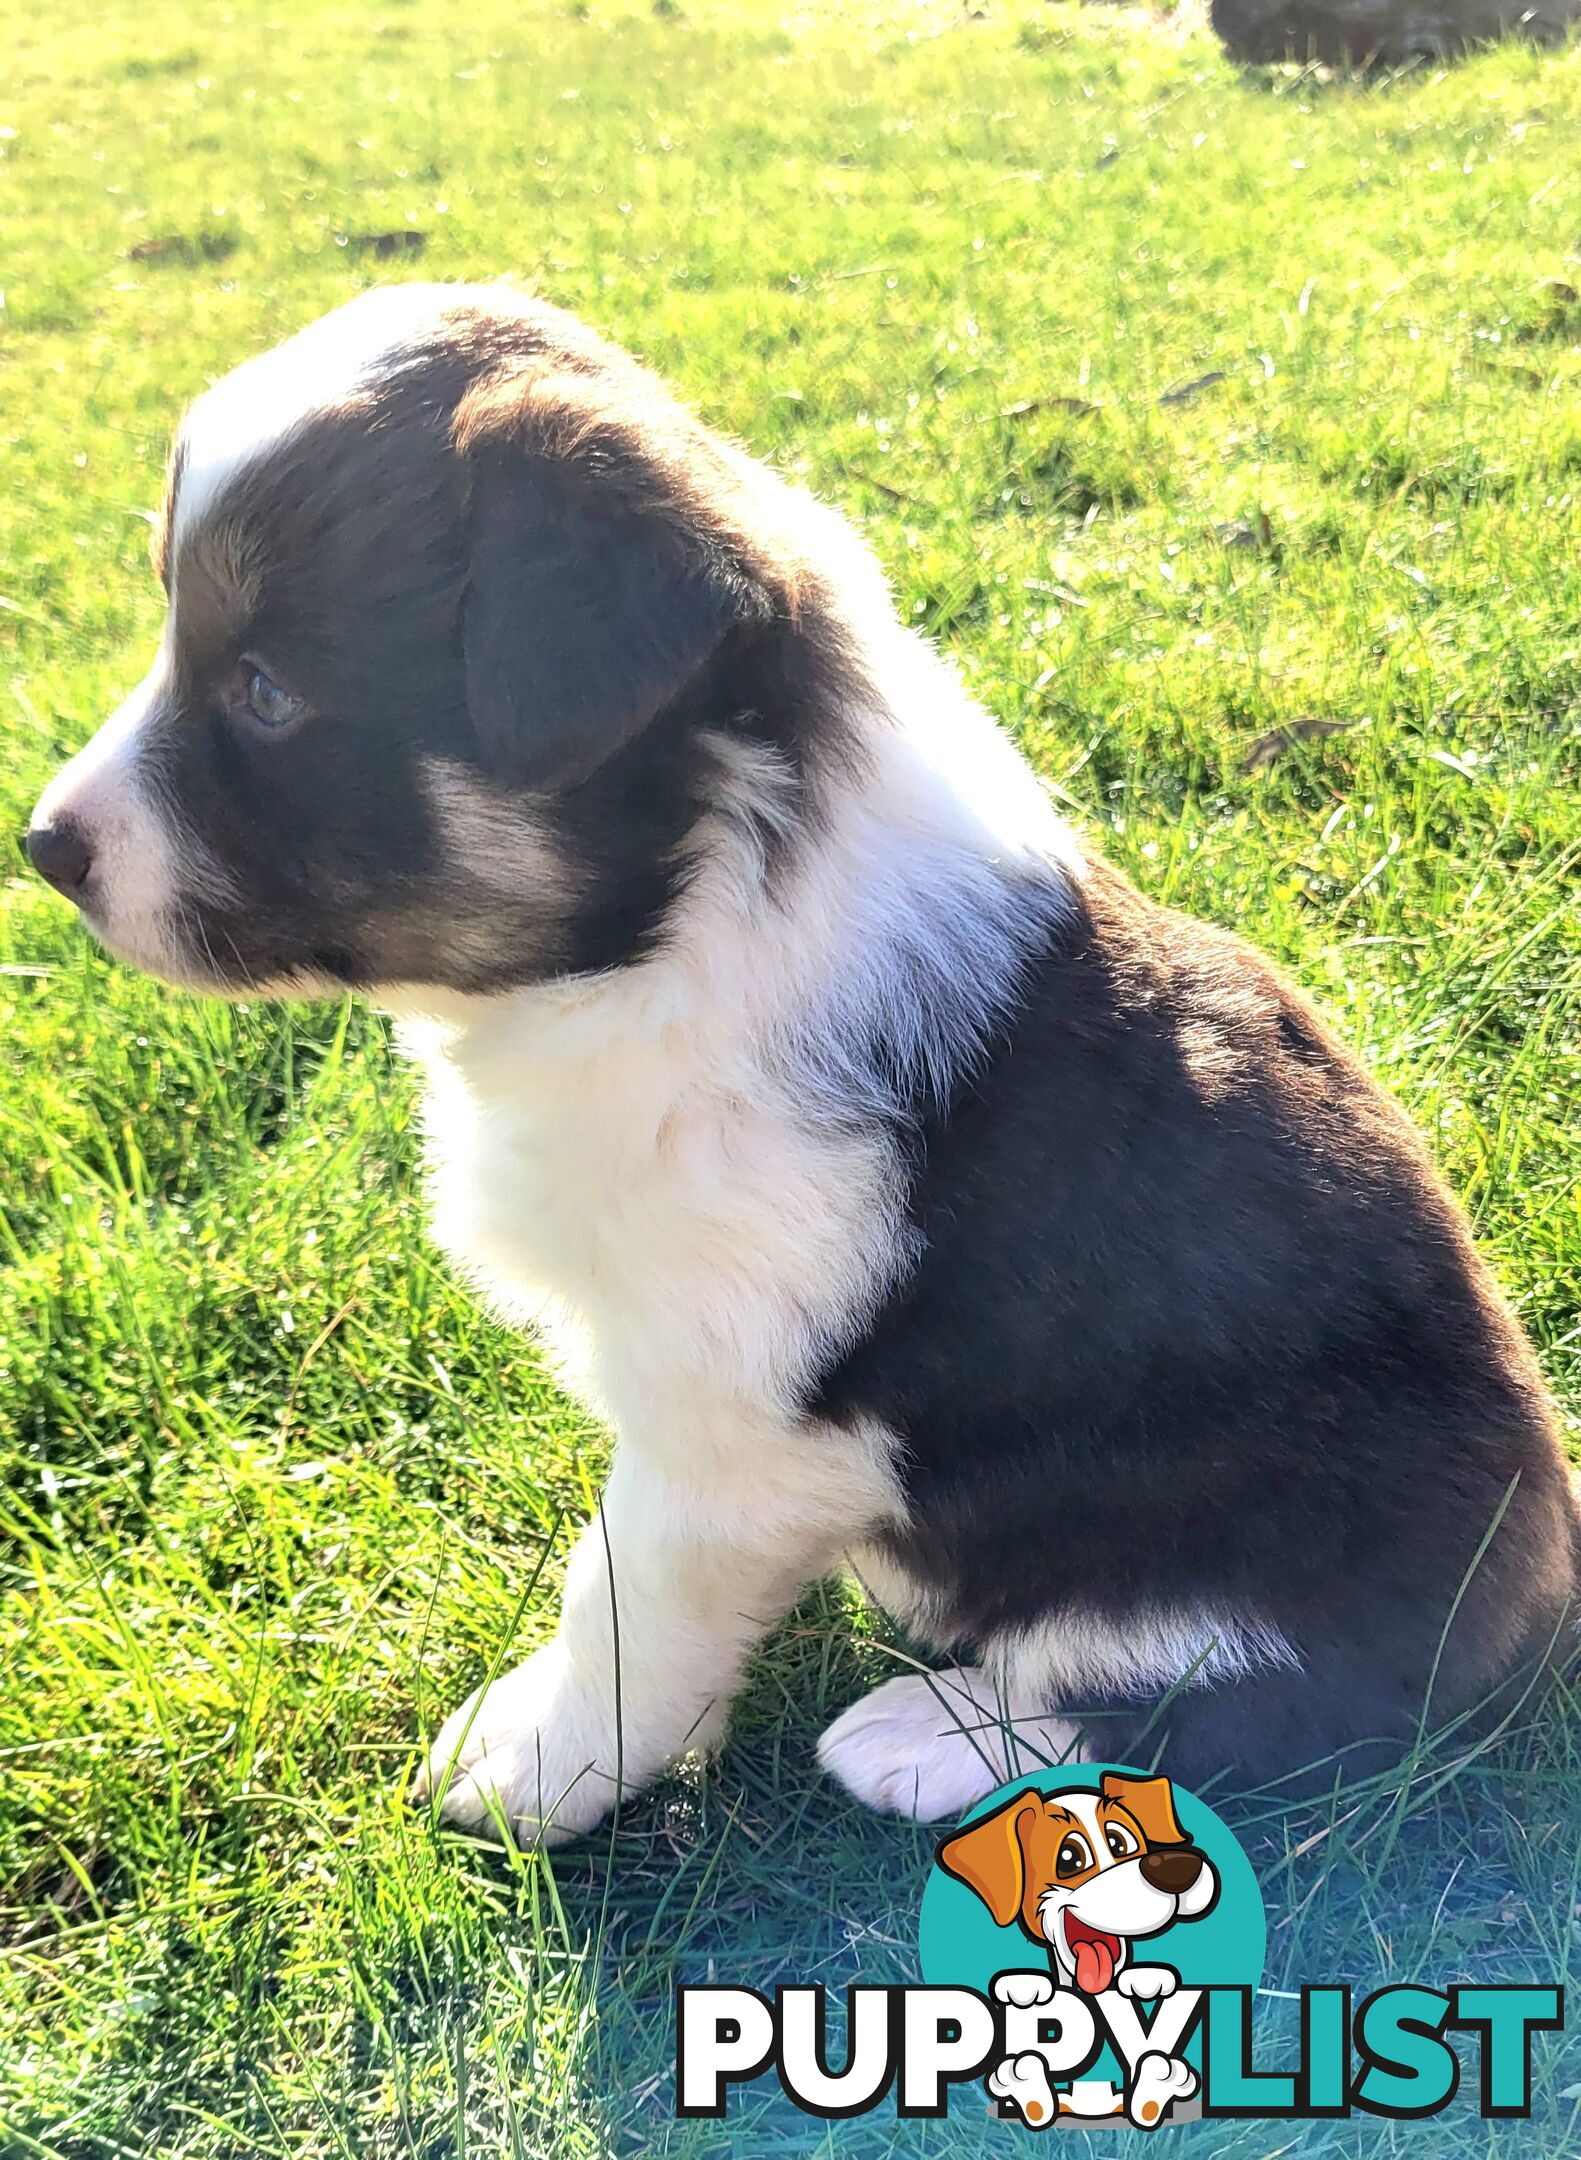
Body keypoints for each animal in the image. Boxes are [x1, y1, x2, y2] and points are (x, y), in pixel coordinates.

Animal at [27, 282, 1581, 1840]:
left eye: (267, 692)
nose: (43, 844)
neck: (662, 938)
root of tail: (1546, 1573)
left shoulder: (733, 1425)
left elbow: (621, 1598)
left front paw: (533, 1759)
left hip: (1277, 1528)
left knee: (1263, 1699)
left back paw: (927, 1735)